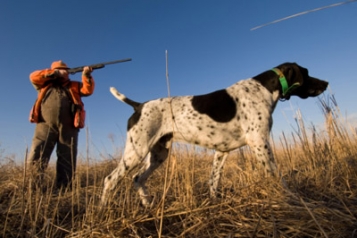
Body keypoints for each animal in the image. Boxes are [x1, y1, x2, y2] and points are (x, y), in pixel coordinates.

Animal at [101, 62, 326, 205]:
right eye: (306, 73)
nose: (326, 83)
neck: (263, 88)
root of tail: (138, 105)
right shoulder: (260, 143)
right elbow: (278, 176)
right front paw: (293, 199)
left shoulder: (221, 152)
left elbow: (213, 181)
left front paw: (214, 203)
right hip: (136, 152)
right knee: (110, 180)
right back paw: (103, 210)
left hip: (158, 154)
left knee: (138, 178)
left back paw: (148, 204)